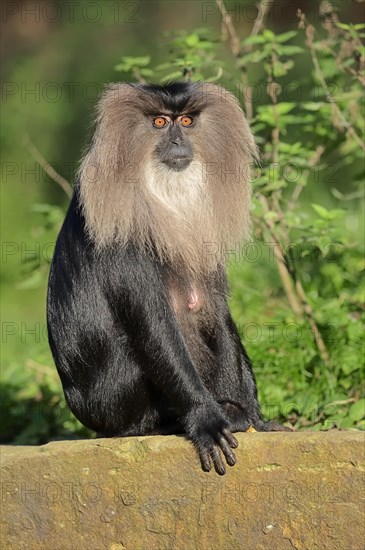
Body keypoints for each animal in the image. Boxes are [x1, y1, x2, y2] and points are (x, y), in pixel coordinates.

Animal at [47, 83, 288, 478]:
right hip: (113, 404)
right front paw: (207, 419)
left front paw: (252, 416)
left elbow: (216, 314)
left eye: (186, 121)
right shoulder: (125, 233)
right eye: (160, 122)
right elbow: (154, 327)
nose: (177, 142)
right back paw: (166, 423)